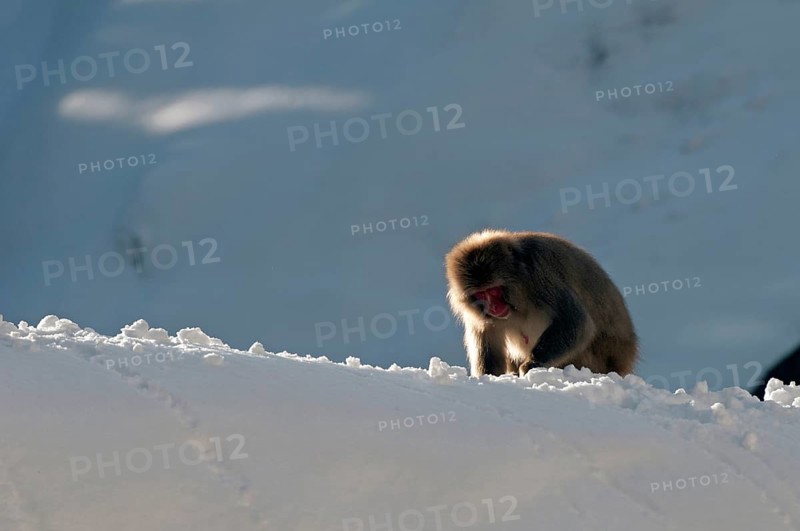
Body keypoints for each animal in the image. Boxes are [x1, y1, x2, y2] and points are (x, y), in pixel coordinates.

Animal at [445, 229, 638, 378]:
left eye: (493, 290)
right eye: (480, 294)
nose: (493, 307)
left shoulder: (539, 276)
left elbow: (575, 322)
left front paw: (530, 365)